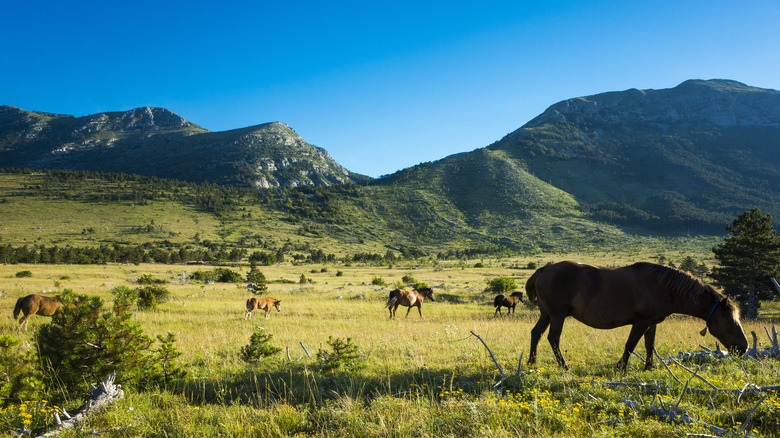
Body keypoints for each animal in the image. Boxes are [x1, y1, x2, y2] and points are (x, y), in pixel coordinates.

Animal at [524, 262, 748, 372]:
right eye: (731, 321)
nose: (744, 348)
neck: (665, 287)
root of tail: (545, 269)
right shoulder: (641, 322)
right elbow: (630, 345)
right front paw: (620, 367)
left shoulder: (652, 323)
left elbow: (649, 345)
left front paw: (649, 367)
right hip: (557, 315)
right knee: (553, 338)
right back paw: (564, 365)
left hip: (546, 314)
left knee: (536, 334)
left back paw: (532, 362)